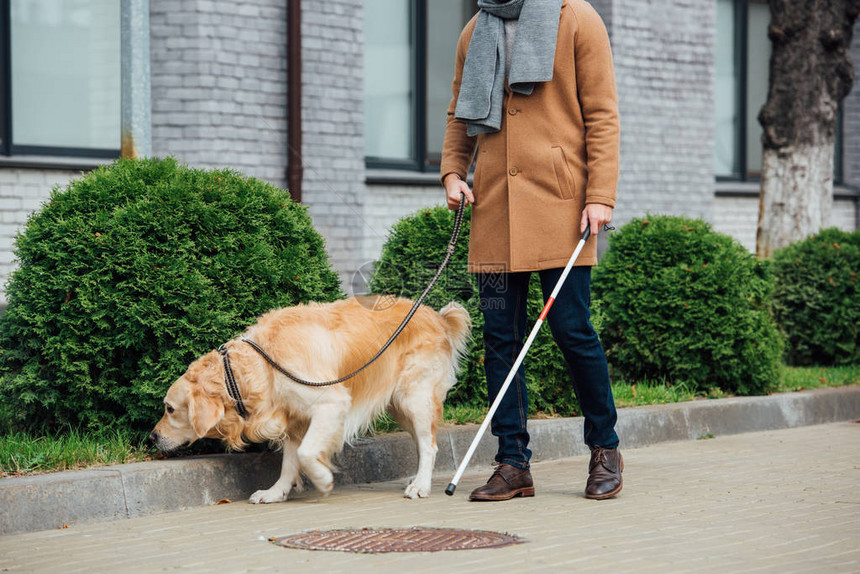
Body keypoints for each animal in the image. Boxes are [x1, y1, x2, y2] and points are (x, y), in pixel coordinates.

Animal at [149, 296, 470, 504]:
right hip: (400, 406)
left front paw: (323, 479)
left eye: (170, 409)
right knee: (422, 442)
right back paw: (416, 479)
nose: (152, 438)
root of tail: (437, 316)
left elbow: (305, 453)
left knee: (429, 444)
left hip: (414, 396)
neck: (261, 364)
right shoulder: (294, 418)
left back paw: (421, 485)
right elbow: (290, 461)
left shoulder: (331, 404)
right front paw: (276, 492)